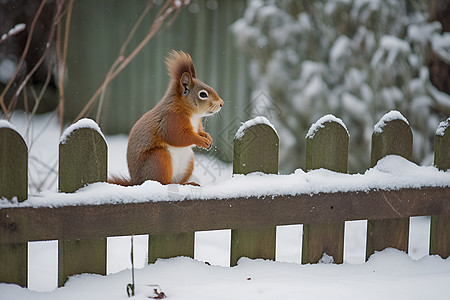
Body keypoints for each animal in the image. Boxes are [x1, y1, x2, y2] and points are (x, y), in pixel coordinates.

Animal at [110, 49, 224, 185]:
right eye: (203, 94)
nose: (221, 103)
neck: (193, 114)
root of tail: (137, 182)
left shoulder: (197, 125)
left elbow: (199, 132)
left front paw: (207, 137)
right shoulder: (170, 120)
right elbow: (178, 136)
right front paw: (201, 141)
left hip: (188, 161)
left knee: (176, 182)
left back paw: (186, 183)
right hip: (159, 158)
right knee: (164, 182)